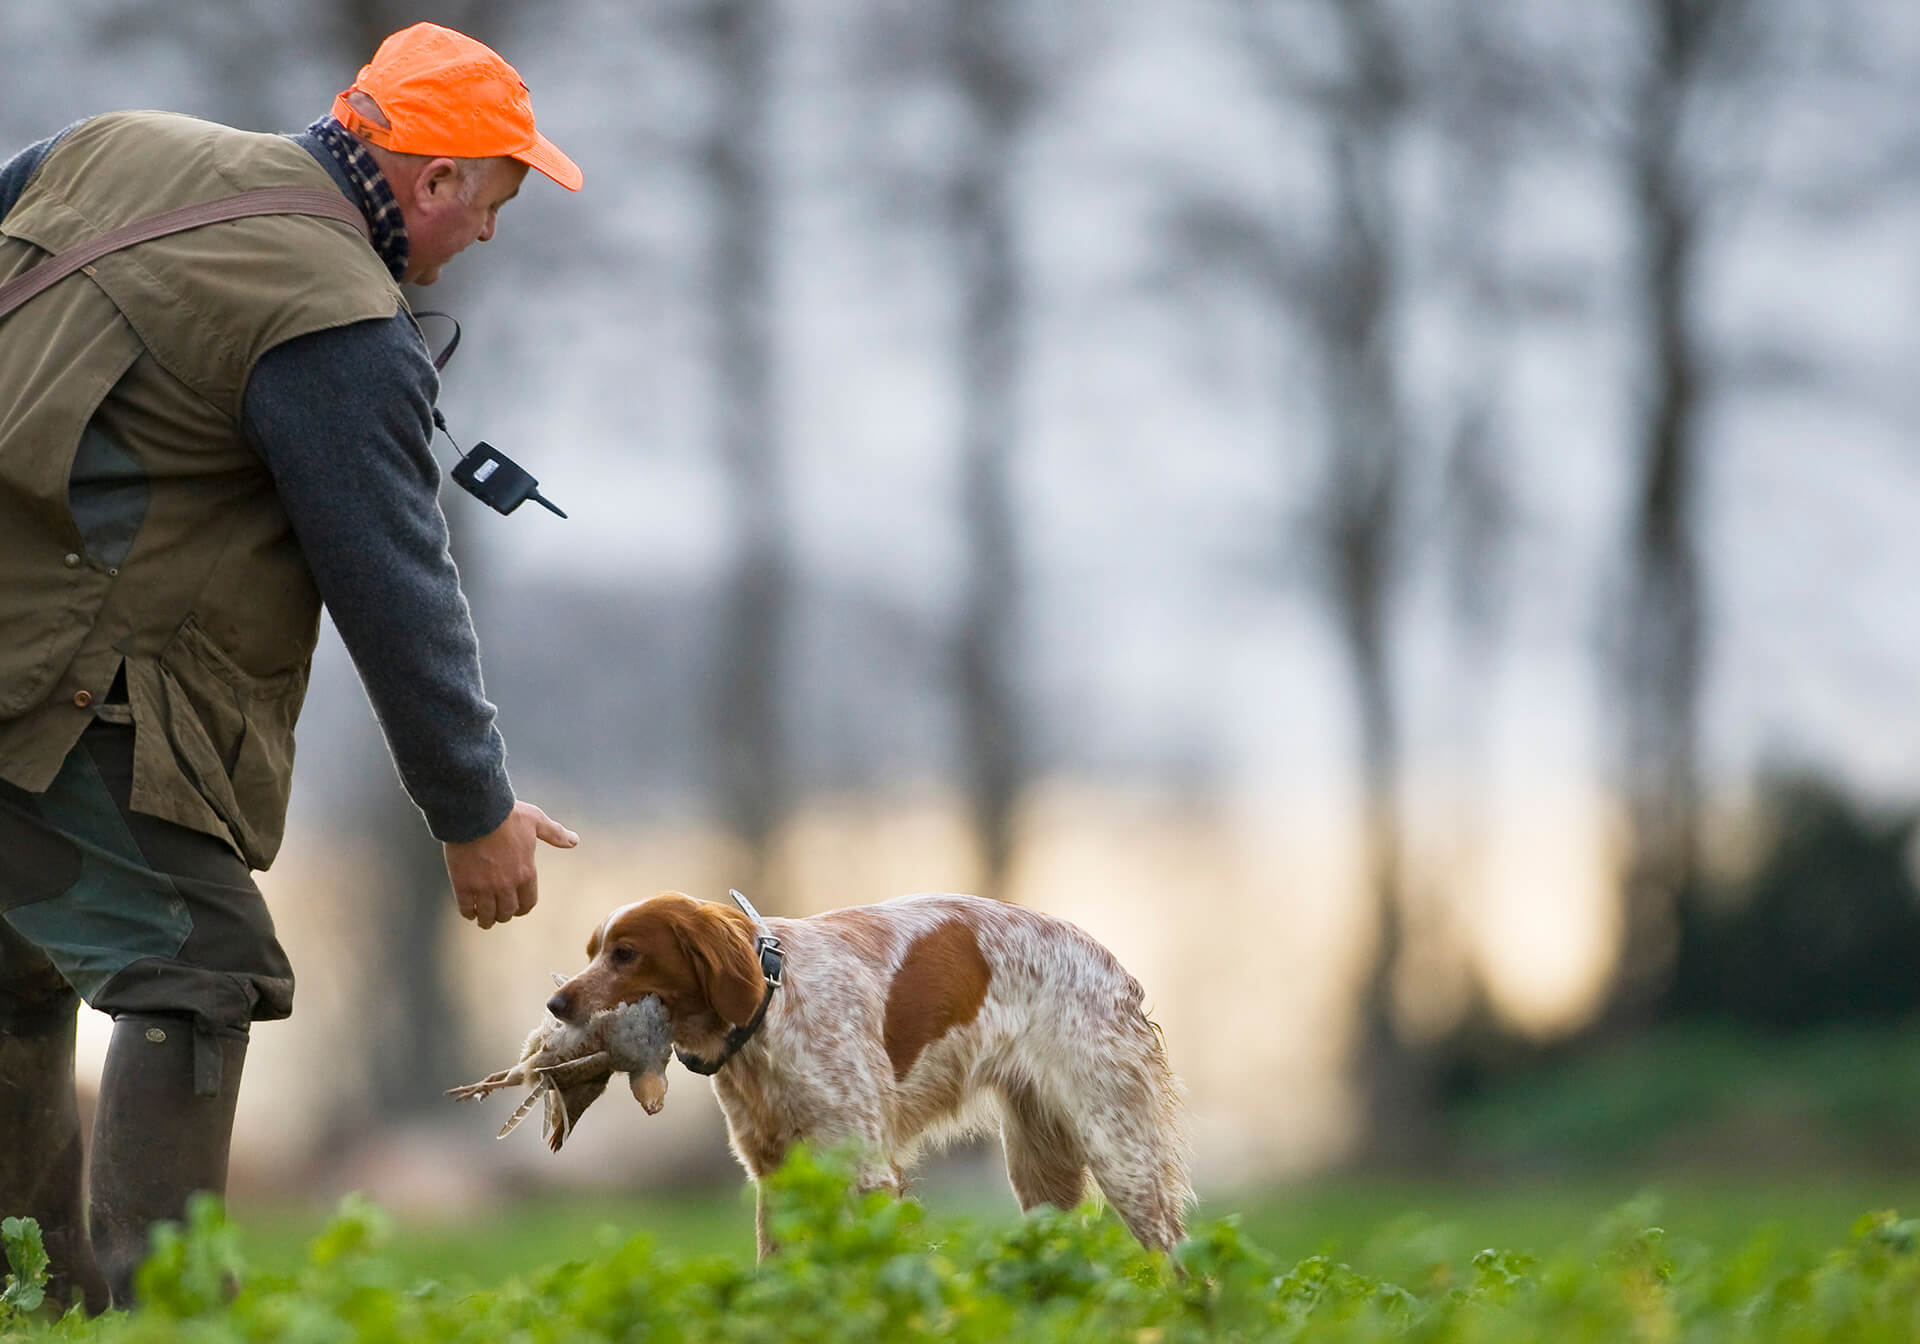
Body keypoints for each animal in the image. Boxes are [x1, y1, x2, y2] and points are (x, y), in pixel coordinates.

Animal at [549, 887, 1190, 1251]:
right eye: (592, 953)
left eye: (626, 954)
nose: (555, 1004)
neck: (772, 1008)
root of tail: (1117, 971)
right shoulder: (776, 1174)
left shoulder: (864, 1170)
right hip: (1041, 1171)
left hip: (1120, 1153)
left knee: (1180, 1261)